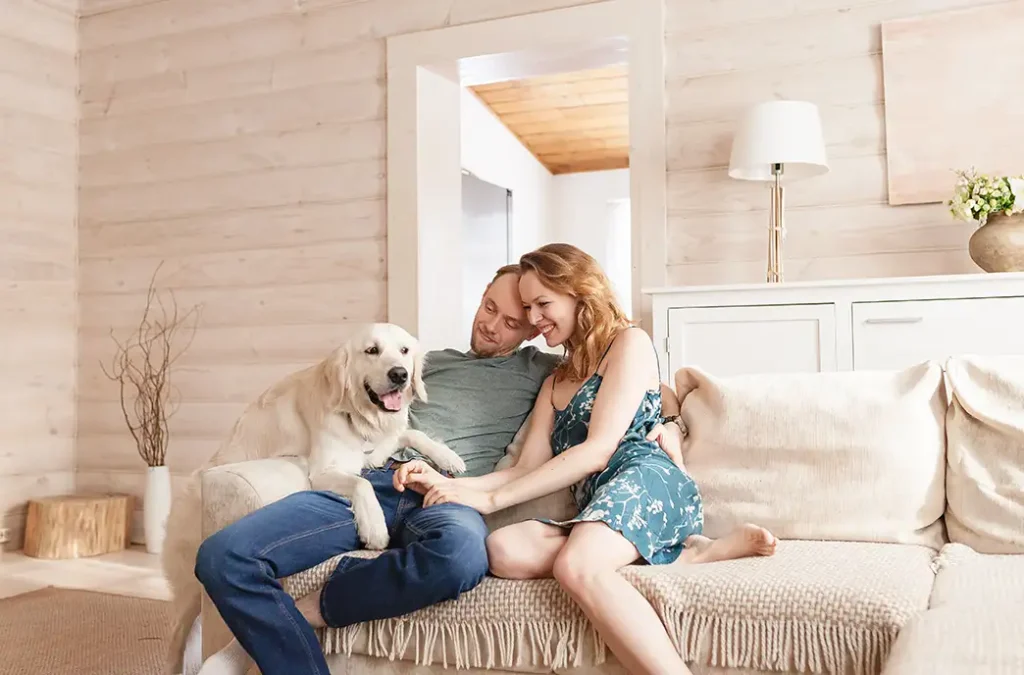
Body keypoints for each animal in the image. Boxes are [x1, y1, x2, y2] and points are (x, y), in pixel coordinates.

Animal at [161, 325, 466, 671]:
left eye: (404, 351)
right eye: (371, 351)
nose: (399, 374)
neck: (357, 416)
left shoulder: (375, 451)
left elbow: (412, 434)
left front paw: (448, 456)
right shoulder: (323, 471)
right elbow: (363, 484)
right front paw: (374, 528)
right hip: (187, 588)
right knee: (175, 639)